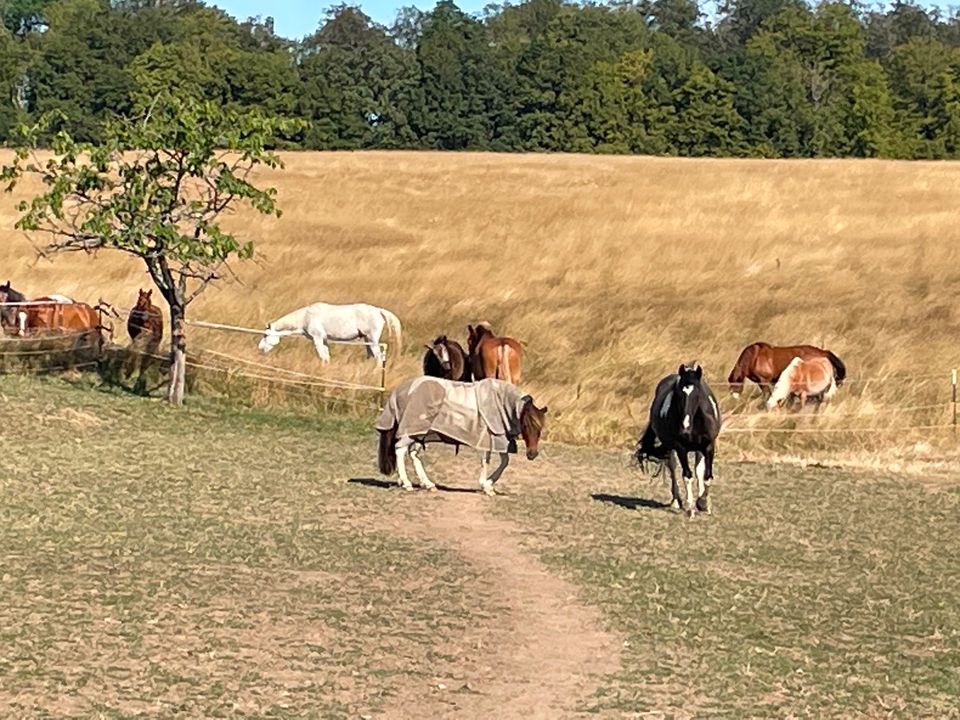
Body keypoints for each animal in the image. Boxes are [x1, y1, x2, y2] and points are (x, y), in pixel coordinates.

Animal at [255, 300, 402, 362]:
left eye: (265, 335)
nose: (260, 349)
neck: (306, 317)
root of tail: (378, 310)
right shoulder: (324, 340)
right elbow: (327, 357)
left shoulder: (318, 338)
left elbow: (323, 356)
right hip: (367, 340)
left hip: (372, 340)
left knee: (379, 358)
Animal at [380, 376, 552, 496]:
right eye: (527, 425)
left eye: (540, 428)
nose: (532, 454)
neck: (500, 403)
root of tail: (400, 390)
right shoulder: (485, 439)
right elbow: (485, 462)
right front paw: (486, 486)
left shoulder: (498, 440)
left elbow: (504, 462)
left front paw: (489, 485)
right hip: (412, 432)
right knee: (399, 450)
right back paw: (407, 483)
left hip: (419, 434)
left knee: (413, 454)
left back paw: (426, 484)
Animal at [636, 366, 720, 516]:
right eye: (680, 394)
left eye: (697, 394)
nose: (685, 428)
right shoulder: (681, 448)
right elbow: (687, 476)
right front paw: (690, 508)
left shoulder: (709, 446)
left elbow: (707, 477)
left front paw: (704, 503)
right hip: (671, 448)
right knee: (673, 468)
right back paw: (676, 501)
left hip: (698, 449)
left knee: (698, 470)